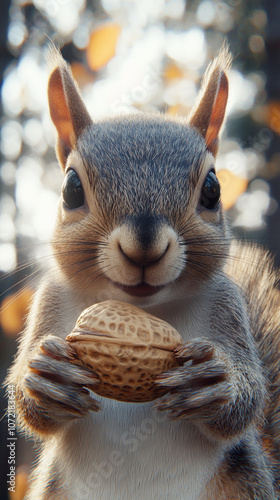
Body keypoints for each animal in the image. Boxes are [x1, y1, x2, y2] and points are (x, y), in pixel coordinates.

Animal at [5, 45, 280, 498]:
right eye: (71, 189)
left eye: (212, 189)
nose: (144, 248)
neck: (145, 310)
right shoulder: (49, 301)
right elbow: (25, 405)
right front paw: (45, 379)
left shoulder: (228, 306)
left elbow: (249, 400)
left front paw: (214, 383)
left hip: (244, 483)